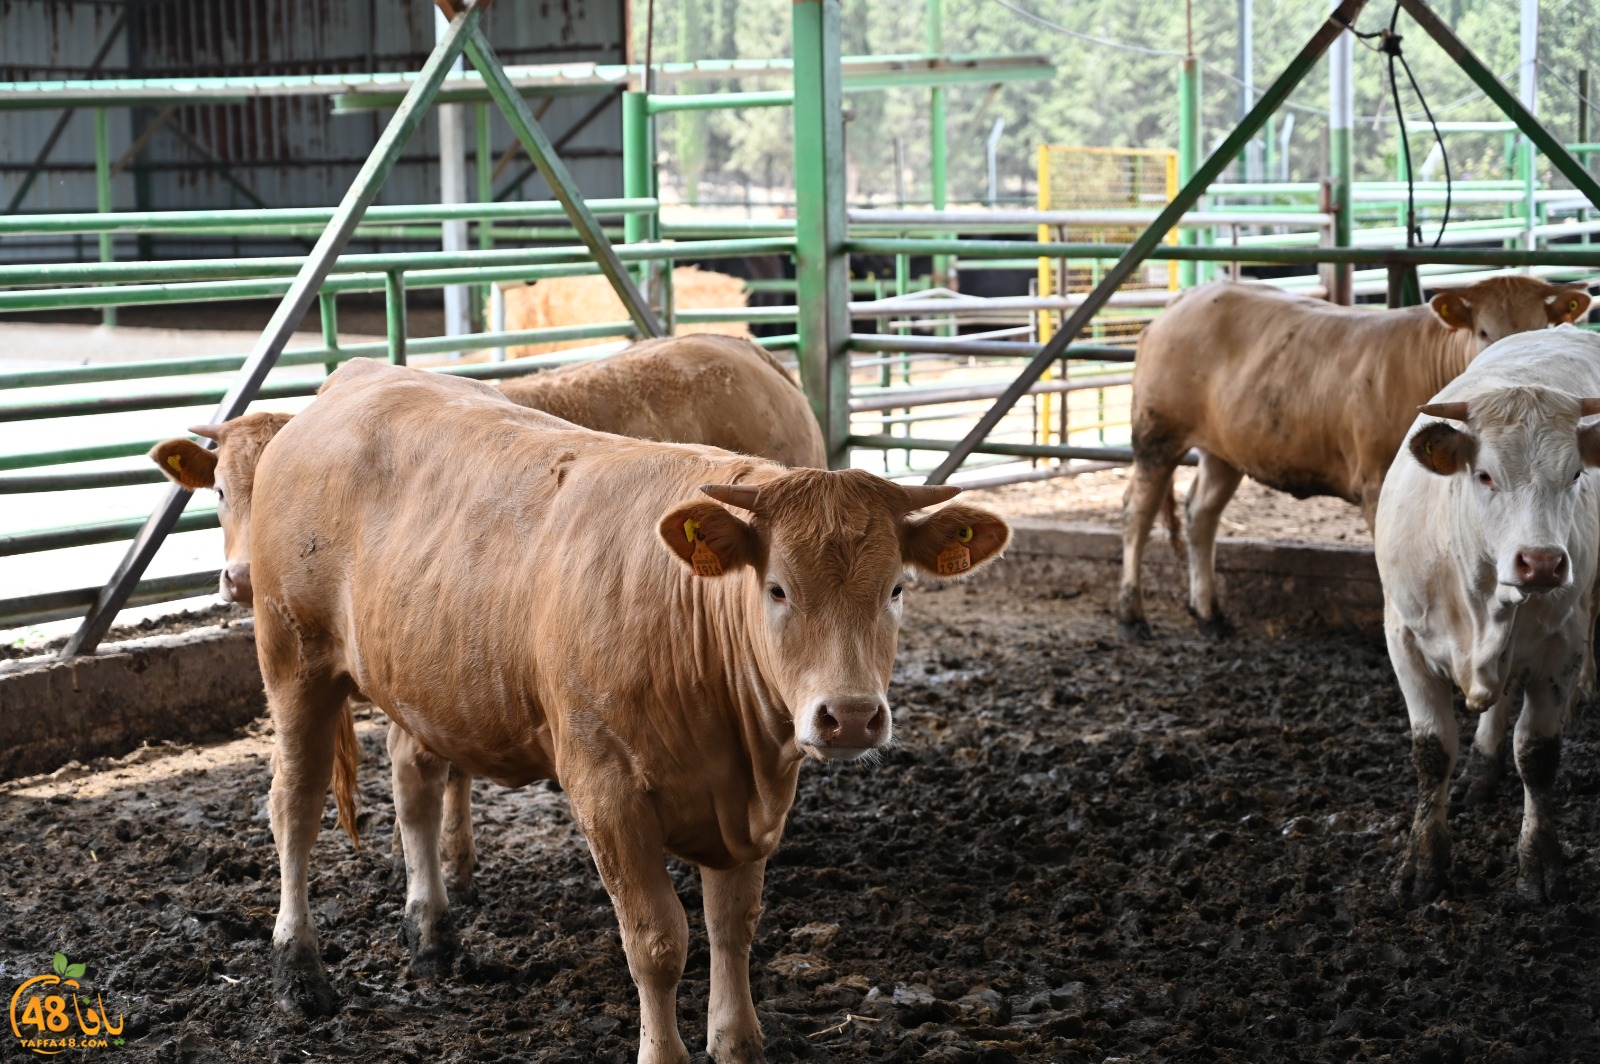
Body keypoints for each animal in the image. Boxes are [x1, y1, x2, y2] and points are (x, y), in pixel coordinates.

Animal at [244, 358, 1004, 1062]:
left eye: (897, 589)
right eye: (778, 589)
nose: (848, 716)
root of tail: (354, 377)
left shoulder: (748, 805)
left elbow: (733, 925)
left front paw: (736, 1041)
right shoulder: (605, 788)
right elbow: (658, 940)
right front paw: (663, 1050)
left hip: (420, 681)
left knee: (415, 786)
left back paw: (432, 939)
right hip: (294, 657)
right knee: (295, 806)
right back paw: (298, 974)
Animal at [1120, 278, 1593, 633]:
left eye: (1544, 325)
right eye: (1483, 331)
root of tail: (1179, 302)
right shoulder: (1376, 483)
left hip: (1225, 452)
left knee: (1201, 513)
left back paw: (1209, 611)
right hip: (1156, 436)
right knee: (1138, 513)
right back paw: (1132, 611)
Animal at [1376, 326, 1600, 902]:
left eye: (1575, 474)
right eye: (1485, 476)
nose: (1541, 562)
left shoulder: (1561, 646)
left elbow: (1538, 754)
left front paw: (1540, 861)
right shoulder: (1403, 638)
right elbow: (1432, 751)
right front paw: (1423, 863)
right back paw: (1483, 765)